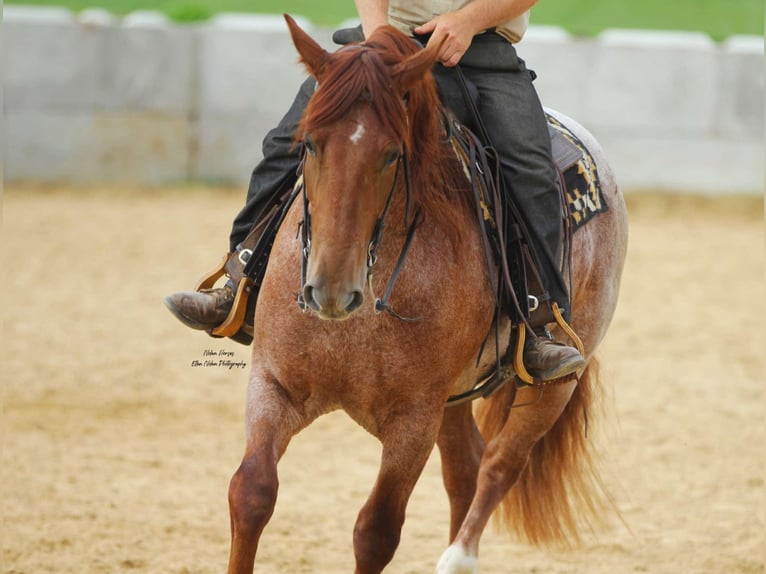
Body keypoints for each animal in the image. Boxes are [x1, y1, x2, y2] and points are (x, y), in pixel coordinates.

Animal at [226, 15, 632, 572]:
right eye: (307, 144)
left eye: (392, 154)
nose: (329, 290)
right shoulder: (273, 383)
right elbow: (252, 492)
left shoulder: (413, 420)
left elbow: (376, 530)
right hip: (456, 397)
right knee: (467, 467)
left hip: (556, 380)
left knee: (500, 464)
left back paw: (459, 555)